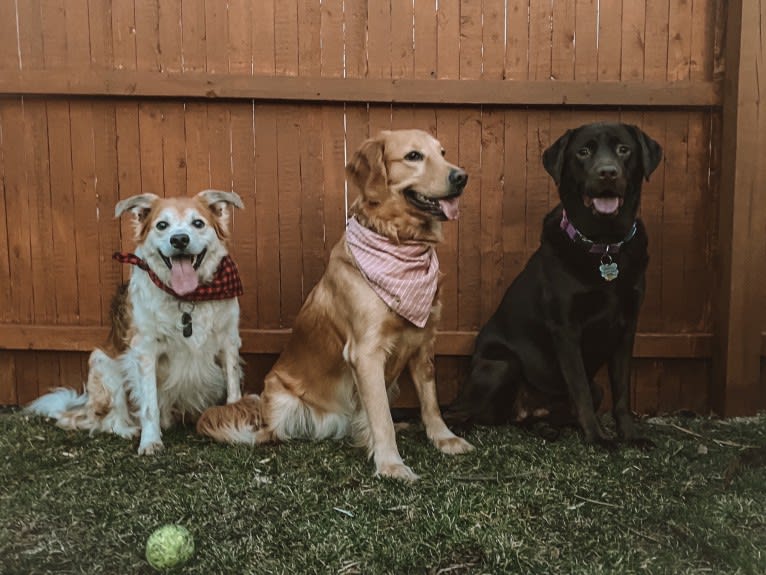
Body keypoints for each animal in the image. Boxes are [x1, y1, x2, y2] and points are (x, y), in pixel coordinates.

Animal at [27, 191, 243, 456]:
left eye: (198, 223)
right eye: (162, 225)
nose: (179, 239)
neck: (189, 298)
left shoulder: (229, 341)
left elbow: (234, 389)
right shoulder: (144, 351)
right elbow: (149, 405)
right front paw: (150, 442)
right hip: (104, 365)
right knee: (109, 419)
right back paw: (129, 429)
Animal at [198, 130, 474, 482]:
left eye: (442, 153)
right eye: (413, 156)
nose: (461, 177)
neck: (399, 241)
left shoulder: (424, 341)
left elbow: (430, 400)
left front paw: (444, 438)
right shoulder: (365, 351)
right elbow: (381, 416)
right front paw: (391, 464)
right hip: (282, 400)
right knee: (271, 432)